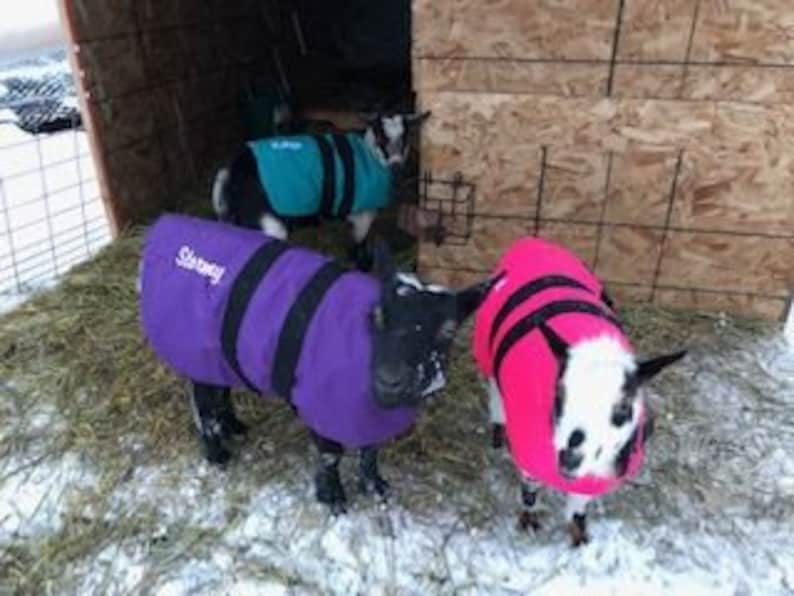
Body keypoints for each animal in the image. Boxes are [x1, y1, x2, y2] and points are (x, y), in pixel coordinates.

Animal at [139, 214, 494, 513]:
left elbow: (370, 451)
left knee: (220, 391)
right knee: (203, 403)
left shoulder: (366, 417)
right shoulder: (318, 403)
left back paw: (234, 427)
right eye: (378, 316)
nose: (390, 378)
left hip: (217, 356)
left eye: (448, 330)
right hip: (192, 350)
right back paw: (216, 452)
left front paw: (375, 487)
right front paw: (332, 496)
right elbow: (330, 455)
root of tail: (166, 226)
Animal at [211, 110, 431, 271]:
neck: (370, 155)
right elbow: (359, 243)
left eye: (406, 137)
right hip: (267, 223)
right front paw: (363, 265)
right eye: (380, 137)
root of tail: (230, 172)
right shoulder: (363, 213)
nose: (397, 166)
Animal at [472, 237, 686, 546]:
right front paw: (529, 519)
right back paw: (499, 432)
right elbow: (529, 490)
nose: (569, 458)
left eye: (623, 408)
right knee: (495, 392)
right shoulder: (530, 455)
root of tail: (533, 243)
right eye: (559, 396)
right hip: (487, 351)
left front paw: (580, 539)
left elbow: (578, 508)